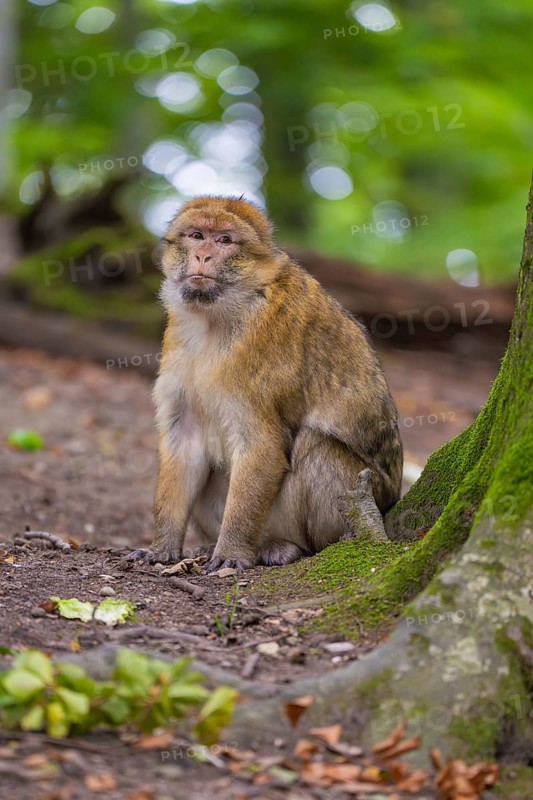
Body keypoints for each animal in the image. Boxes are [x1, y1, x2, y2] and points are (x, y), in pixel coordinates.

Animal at [129, 195, 403, 572]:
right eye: (197, 235)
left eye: (225, 240)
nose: (203, 256)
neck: (220, 314)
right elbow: (184, 441)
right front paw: (162, 548)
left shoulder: (260, 347)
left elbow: (262, 445)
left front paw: (231, 552)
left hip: (364, 497)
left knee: (317, 446)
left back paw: (287, 548)